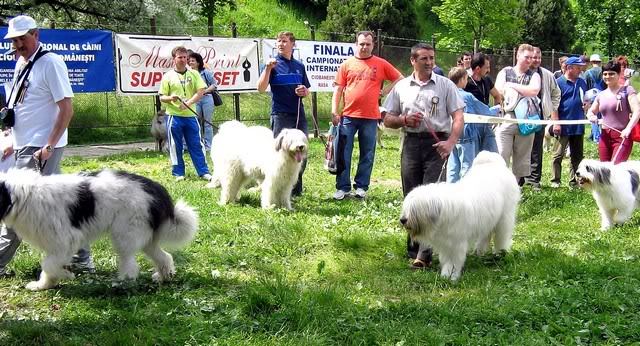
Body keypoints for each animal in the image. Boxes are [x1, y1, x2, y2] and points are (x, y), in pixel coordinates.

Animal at [0, 169, 199, 290]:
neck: (21, 197)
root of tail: (155, 188)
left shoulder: (66, 240)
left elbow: (48, 264)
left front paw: (66, 275)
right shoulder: (54, 245)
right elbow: (49, 267)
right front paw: (44, 285)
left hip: (125, 234)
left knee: (129, 263)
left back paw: (122, 283)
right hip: (145, 237)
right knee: (165, 257)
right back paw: (164, 277)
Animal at [400, 151, 520, 282]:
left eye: (414, 209)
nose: (403, 220)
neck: (442, 210)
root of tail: (493, 162)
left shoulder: (456, 243)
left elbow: (454, 261)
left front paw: (452, 276)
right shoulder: (446, 243)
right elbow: (446, 259)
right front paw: (445, 275)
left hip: (505, 217)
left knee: (502, 236)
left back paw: (500, 253)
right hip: (488, 219)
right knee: (486, 236)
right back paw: (480, 252)